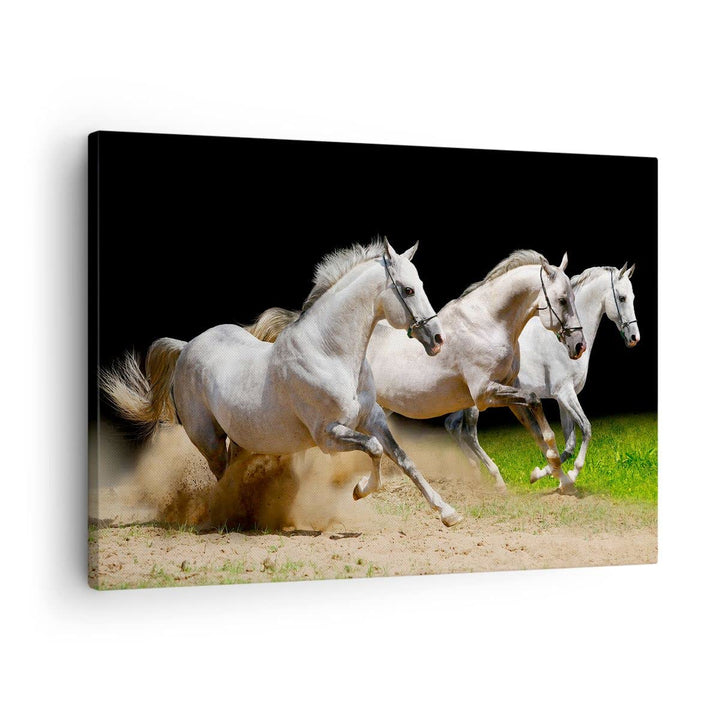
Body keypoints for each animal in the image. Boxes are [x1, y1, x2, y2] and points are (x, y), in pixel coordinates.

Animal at [101, 238, 464, 527]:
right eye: (408, 289)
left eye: (420, 283)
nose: (437, 339)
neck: (330, 353)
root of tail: (187, 346)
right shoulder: (328, 435)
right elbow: (374, 450)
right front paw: (360, 490)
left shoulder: (371, 418)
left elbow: (403, 459)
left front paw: (448, 513)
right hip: (209, 440)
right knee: (221, 476)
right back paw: (224, 518)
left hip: (243, 439)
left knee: (232, 473)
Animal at [250, 250, 587, 494]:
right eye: (562, 299)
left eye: (573, 296)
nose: (579, 345)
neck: (487, 323)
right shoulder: (485, 394)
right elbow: (535, 402)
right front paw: (551, 472)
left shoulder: (507, 387)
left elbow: (539, 429)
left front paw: (559, 479)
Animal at [445, 263, 640, 486]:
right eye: (622, 297)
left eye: (633, 297)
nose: (634, 338)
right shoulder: (566, 393)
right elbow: (586, 428)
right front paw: (570, 473)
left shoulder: (563, 398)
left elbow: (569, 444)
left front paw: (546, 474)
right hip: (478, 402)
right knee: (469, 434)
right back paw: (496, 477)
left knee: (452, 425)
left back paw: (475, 472)